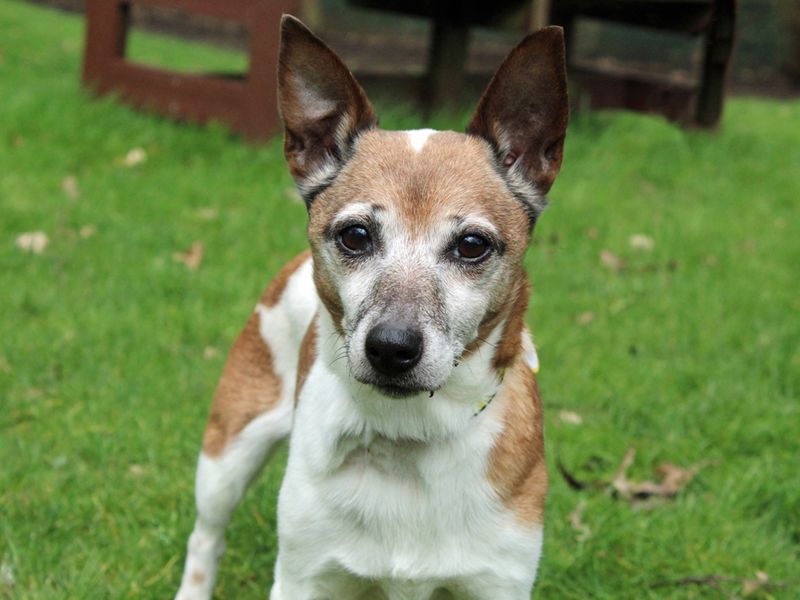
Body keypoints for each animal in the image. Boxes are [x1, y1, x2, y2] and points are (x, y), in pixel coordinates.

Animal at [176, 14, 568, 600]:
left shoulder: (499, 581)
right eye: (355, 236)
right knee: (206, 536)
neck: (410, 436)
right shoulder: (303, 578)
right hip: (228, 453)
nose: (391, 348)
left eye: (472, 245)